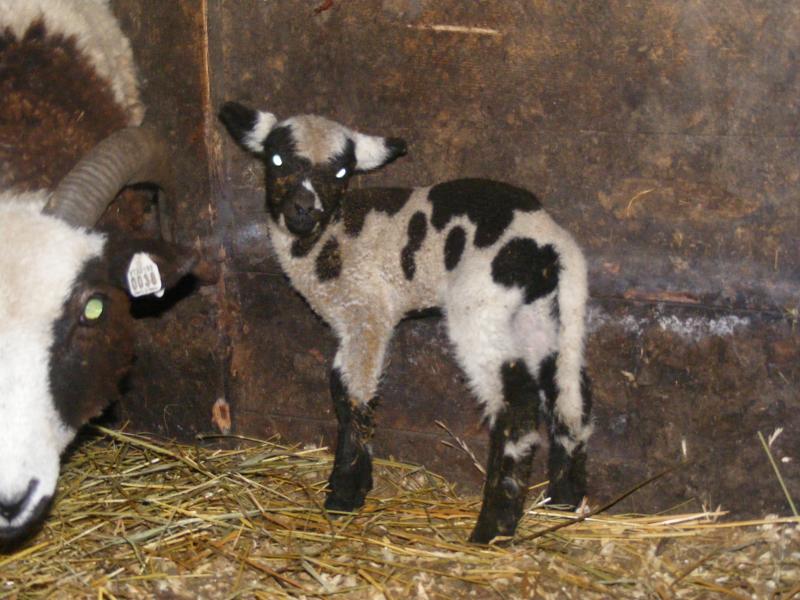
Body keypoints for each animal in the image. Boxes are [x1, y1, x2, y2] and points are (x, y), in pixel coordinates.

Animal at [219, 101, 593, 543]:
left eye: (341, 172)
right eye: (276, 160)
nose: (304, 210)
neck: (330, 234)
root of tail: (547, 246)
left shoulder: (366, 312)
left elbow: (351, 394)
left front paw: (344, 495)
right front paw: (355, 485)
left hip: (482, 310)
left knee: (516, 407)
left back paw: (492, 529)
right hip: (555, 315)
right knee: (571, 398)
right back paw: (564, 501)